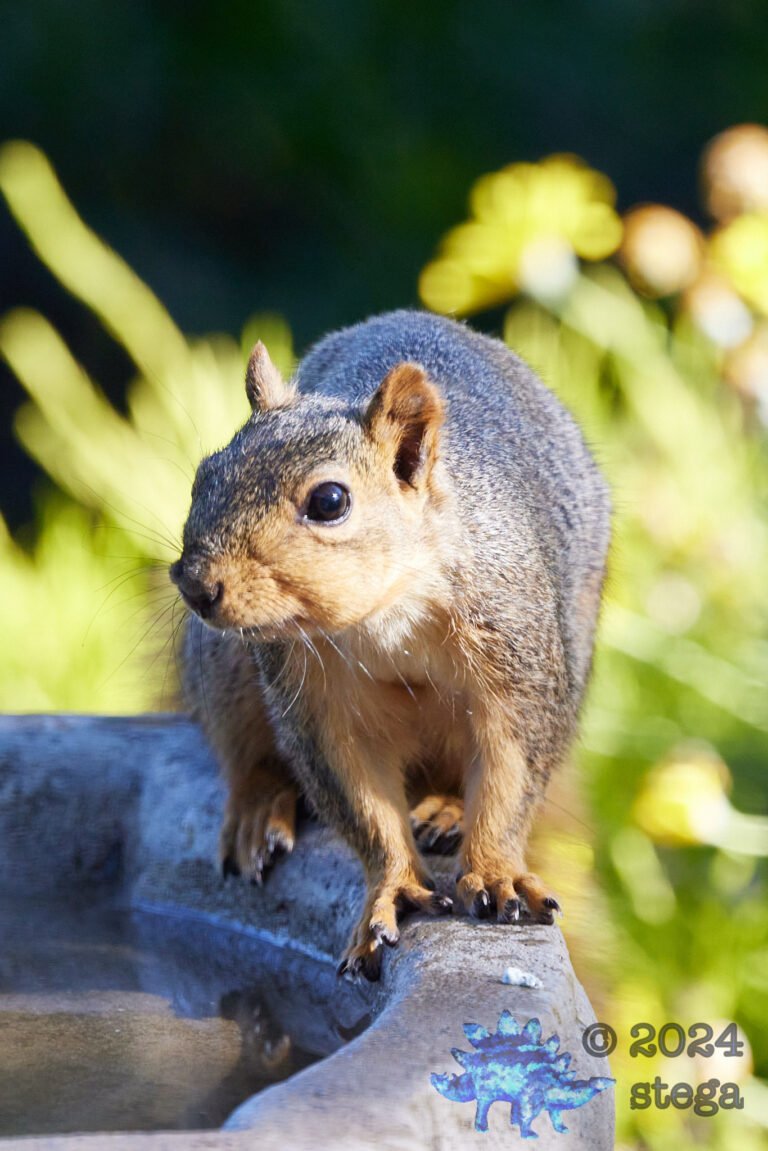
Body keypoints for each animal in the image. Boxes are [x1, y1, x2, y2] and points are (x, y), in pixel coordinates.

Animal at [170, 309, 611, 981]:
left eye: (330, 501)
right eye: (203, 477)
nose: (195, 584)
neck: (384, 613)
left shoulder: (518, 659)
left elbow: (511, 776)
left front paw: (496, 872)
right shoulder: (317, 704)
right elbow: (363, 805)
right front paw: (395, 889)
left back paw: (447, 809)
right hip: (224, 670)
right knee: (244, 751)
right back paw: (259, 806)